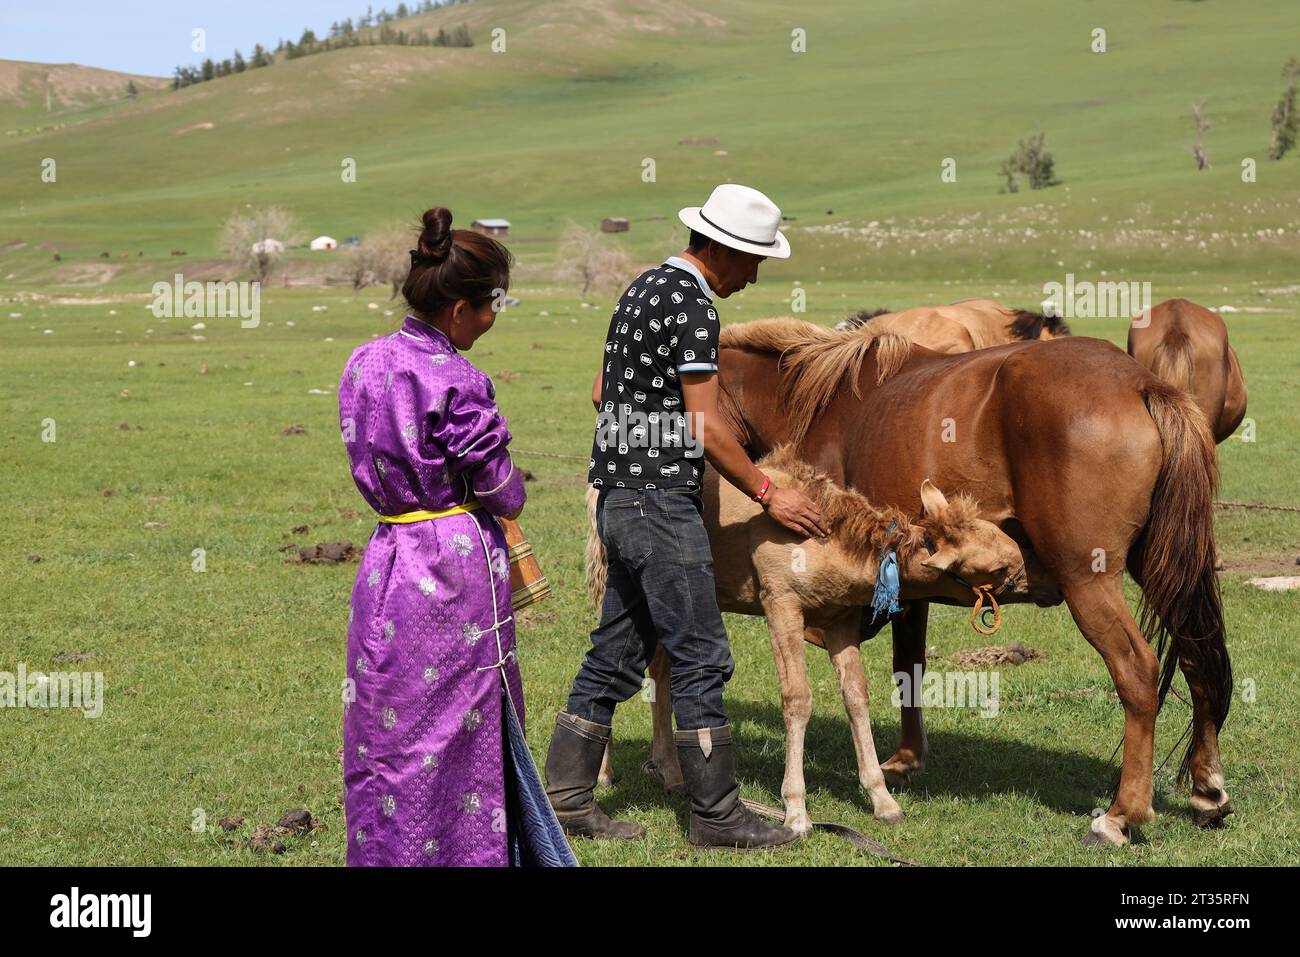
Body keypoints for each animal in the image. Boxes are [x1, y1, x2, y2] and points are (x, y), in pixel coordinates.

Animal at [585, 446, 1027, 833]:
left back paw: (672, 773)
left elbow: (856, 694)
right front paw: (796, 812)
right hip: (613, 579)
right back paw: (604, 775)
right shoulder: (781, 602)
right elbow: (797, 698)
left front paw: (883, 801)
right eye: (995, 566)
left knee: (659, 668)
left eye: (996, 532)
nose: (1025, 571)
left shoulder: (841, 619)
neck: (827, 543)